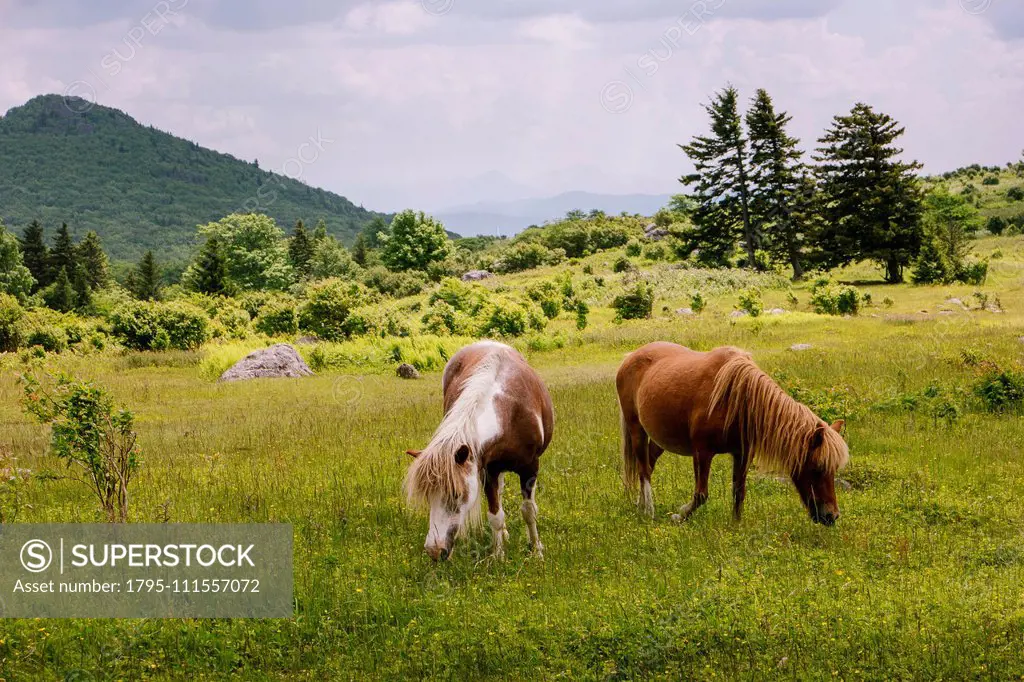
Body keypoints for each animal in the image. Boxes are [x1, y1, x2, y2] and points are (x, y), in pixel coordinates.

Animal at [403, 337, 557, 557]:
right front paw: (498, 555)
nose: (434, 551)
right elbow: (495, 515)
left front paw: (536, 550)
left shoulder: (530, 468)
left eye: (456, 494)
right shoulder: (488, 470)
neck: (510, 414)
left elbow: (529, 511)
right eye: (428, 497)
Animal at [614, 342, 847, 522]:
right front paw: (679, 516)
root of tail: (630, 358)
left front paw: (735, 525)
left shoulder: (742, 454)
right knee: (643, 471)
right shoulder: (702, 452)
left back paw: (640, 506)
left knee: (649, 465)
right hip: (636, 429)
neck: (737, 398)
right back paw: (649, 511)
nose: (832, 516)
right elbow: (701, 495)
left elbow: (739, 491)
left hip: (659, 439)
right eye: (817, 468)